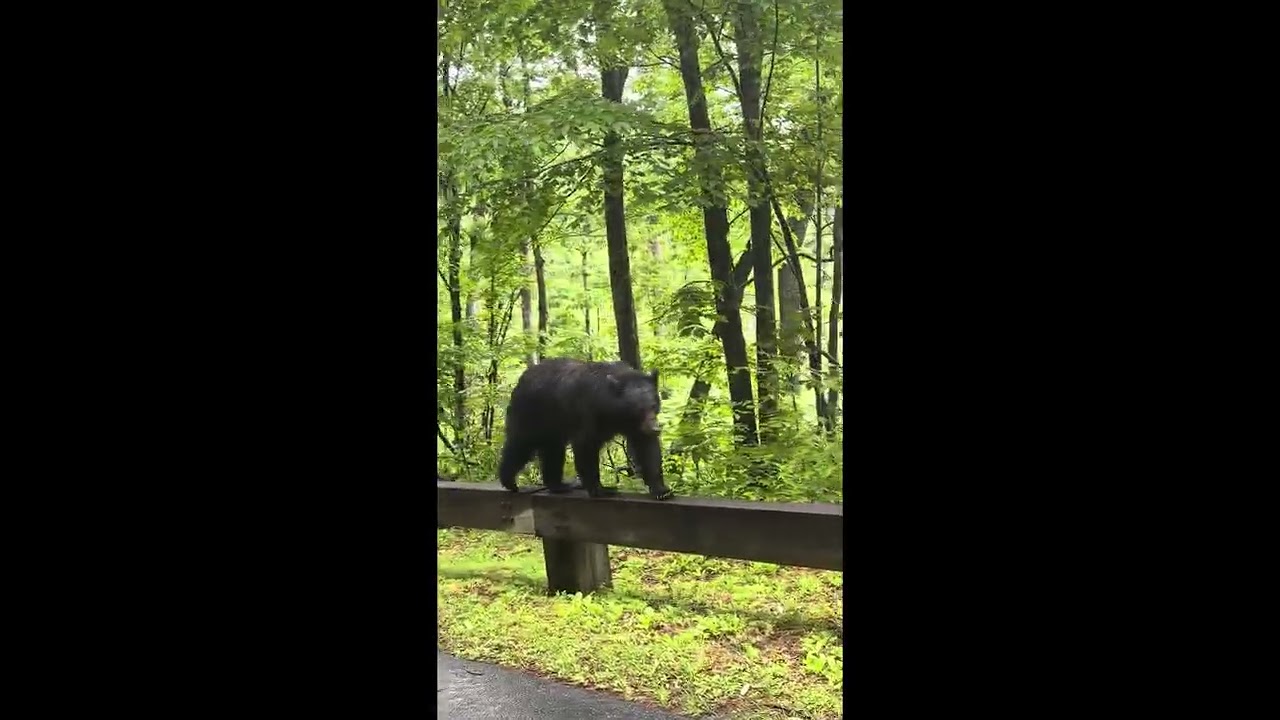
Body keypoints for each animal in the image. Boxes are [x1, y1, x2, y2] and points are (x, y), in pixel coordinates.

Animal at [498, 358, 675, 500]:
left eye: (654, 405)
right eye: (639, 409)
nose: (655, 428)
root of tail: (522, 378)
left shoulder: (635, 426)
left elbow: (647, 448)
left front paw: (662, 490)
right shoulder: (589, 414)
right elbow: (586, 447)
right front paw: (601, 489)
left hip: (554, 425)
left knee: (553, 451)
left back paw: (558, 485)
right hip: (532, 414)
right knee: (520, 444)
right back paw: (509, 481)